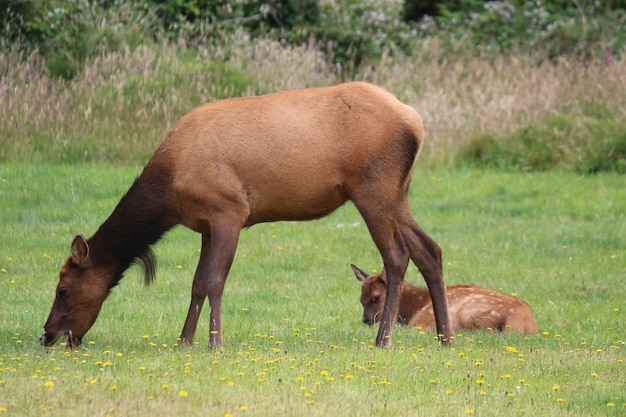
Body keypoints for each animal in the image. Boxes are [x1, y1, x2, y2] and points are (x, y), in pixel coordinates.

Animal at [40, 81, 454, 348]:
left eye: (63, 288)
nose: (47, 335)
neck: (168, 192)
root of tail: (415, 121)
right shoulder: (205, 223)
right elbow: (196, 282)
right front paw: (184, 340)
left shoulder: (229, 209)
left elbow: (214, 280)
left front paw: (215, 343)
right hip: (399, 192)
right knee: (430, 249)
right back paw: (445, 337)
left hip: (373, 187)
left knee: (397, 256)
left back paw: (383, 340)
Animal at [352, 264, 536, 334]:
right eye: (361, 300)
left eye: (377, 297)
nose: (366, 320)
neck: (416, 305)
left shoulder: (422, 322)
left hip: (468, 313)